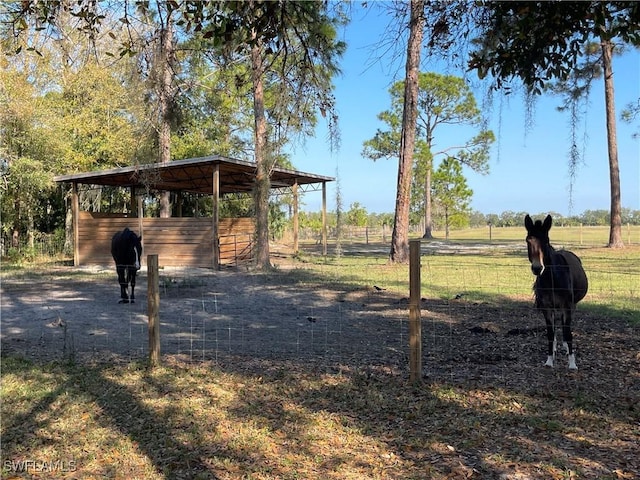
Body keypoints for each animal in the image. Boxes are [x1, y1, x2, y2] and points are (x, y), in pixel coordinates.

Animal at [524, 216, 588, 370]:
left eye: (546, 241)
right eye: (528, 240)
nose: (537, 268)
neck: (552, 279)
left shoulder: (567, 306)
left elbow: (568, 332)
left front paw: (572, 364)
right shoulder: (546, 308)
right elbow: (550, 332)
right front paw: (549, 360)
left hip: (571, 306)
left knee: (565, 326)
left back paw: (565, 346)